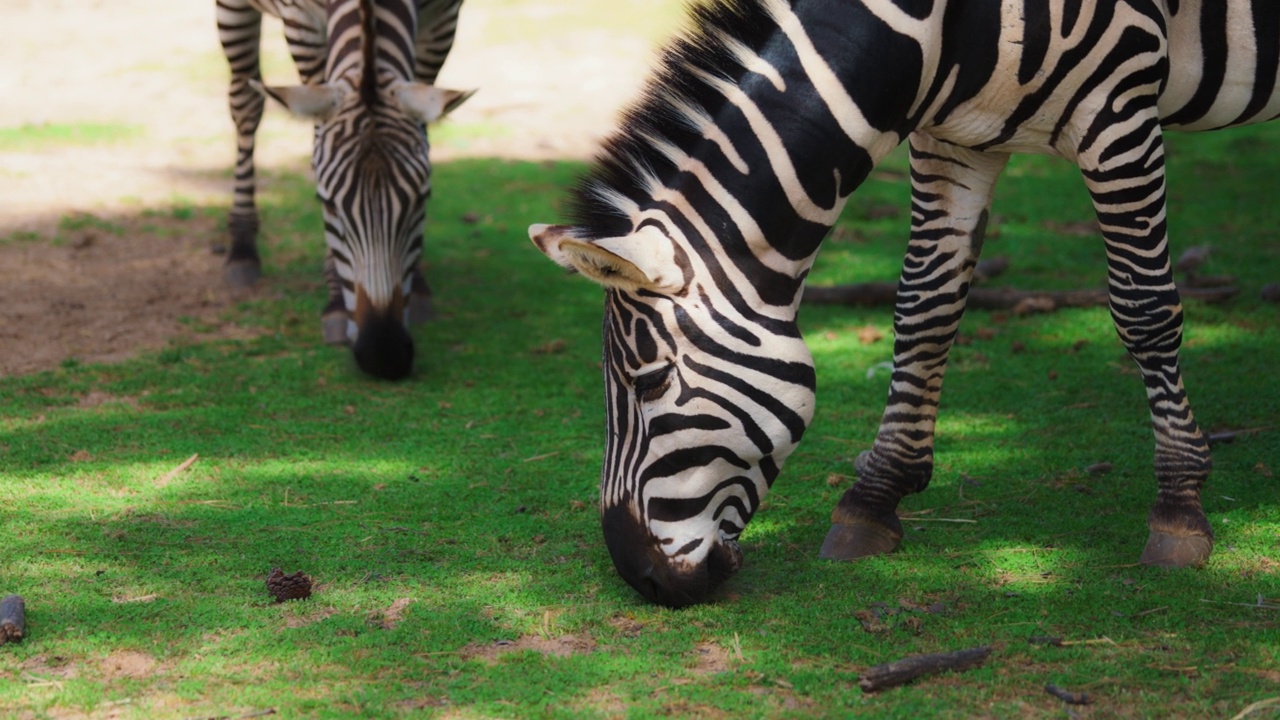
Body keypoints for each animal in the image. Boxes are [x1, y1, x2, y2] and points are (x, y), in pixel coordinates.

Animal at [215, 0, 476, 379]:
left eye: (422, 200)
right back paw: (242, 246)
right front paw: (336, 300)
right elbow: (315, 134)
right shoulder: (302, 24)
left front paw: (418, 282)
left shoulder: (444, 18)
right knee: (245, 101)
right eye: (326, 204)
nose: (383, 357)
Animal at [524, 0, 1274, 604]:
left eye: (649, 382)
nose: (640, 579)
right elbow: (924, 307)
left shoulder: (1119, 105)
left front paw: (1179, 507)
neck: (931, 26)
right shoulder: (955, 136)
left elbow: (1143, 306)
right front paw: (874, 500)